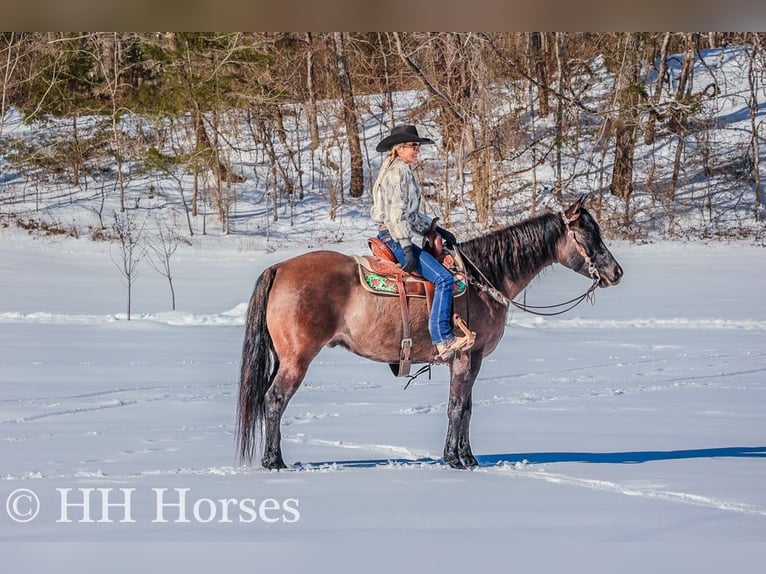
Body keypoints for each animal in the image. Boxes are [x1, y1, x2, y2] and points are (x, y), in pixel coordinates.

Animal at [238, 198, 624, 472]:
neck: (485, 278)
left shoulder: (472, 359)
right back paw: (275, 461)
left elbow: (466, 408)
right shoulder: (466, 356)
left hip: (284, 358)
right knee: (274, 399)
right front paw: (454, 459)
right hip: (297, 358)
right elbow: (456, 407)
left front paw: (468, 458)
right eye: (588, 234)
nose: (616, 272)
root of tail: (279, 268)